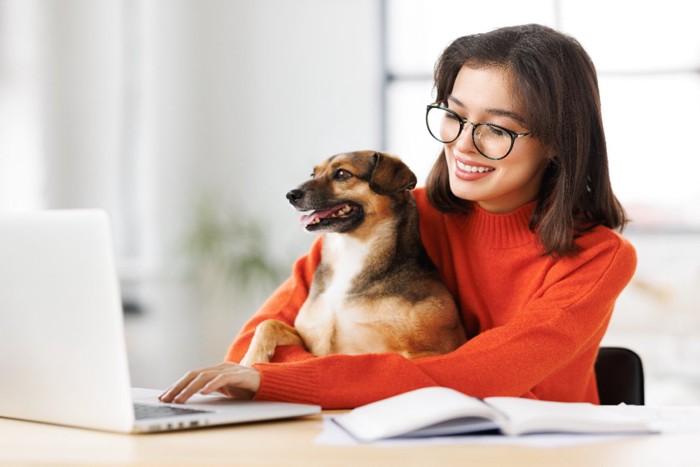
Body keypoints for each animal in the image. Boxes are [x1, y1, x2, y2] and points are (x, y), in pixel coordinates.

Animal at [239, 152, 464, 368]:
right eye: (313, 174)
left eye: (342, 174)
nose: (290, 195)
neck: (350, 250)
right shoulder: (307, 339)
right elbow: (268, 324)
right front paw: (250, 360)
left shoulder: (426, 353)